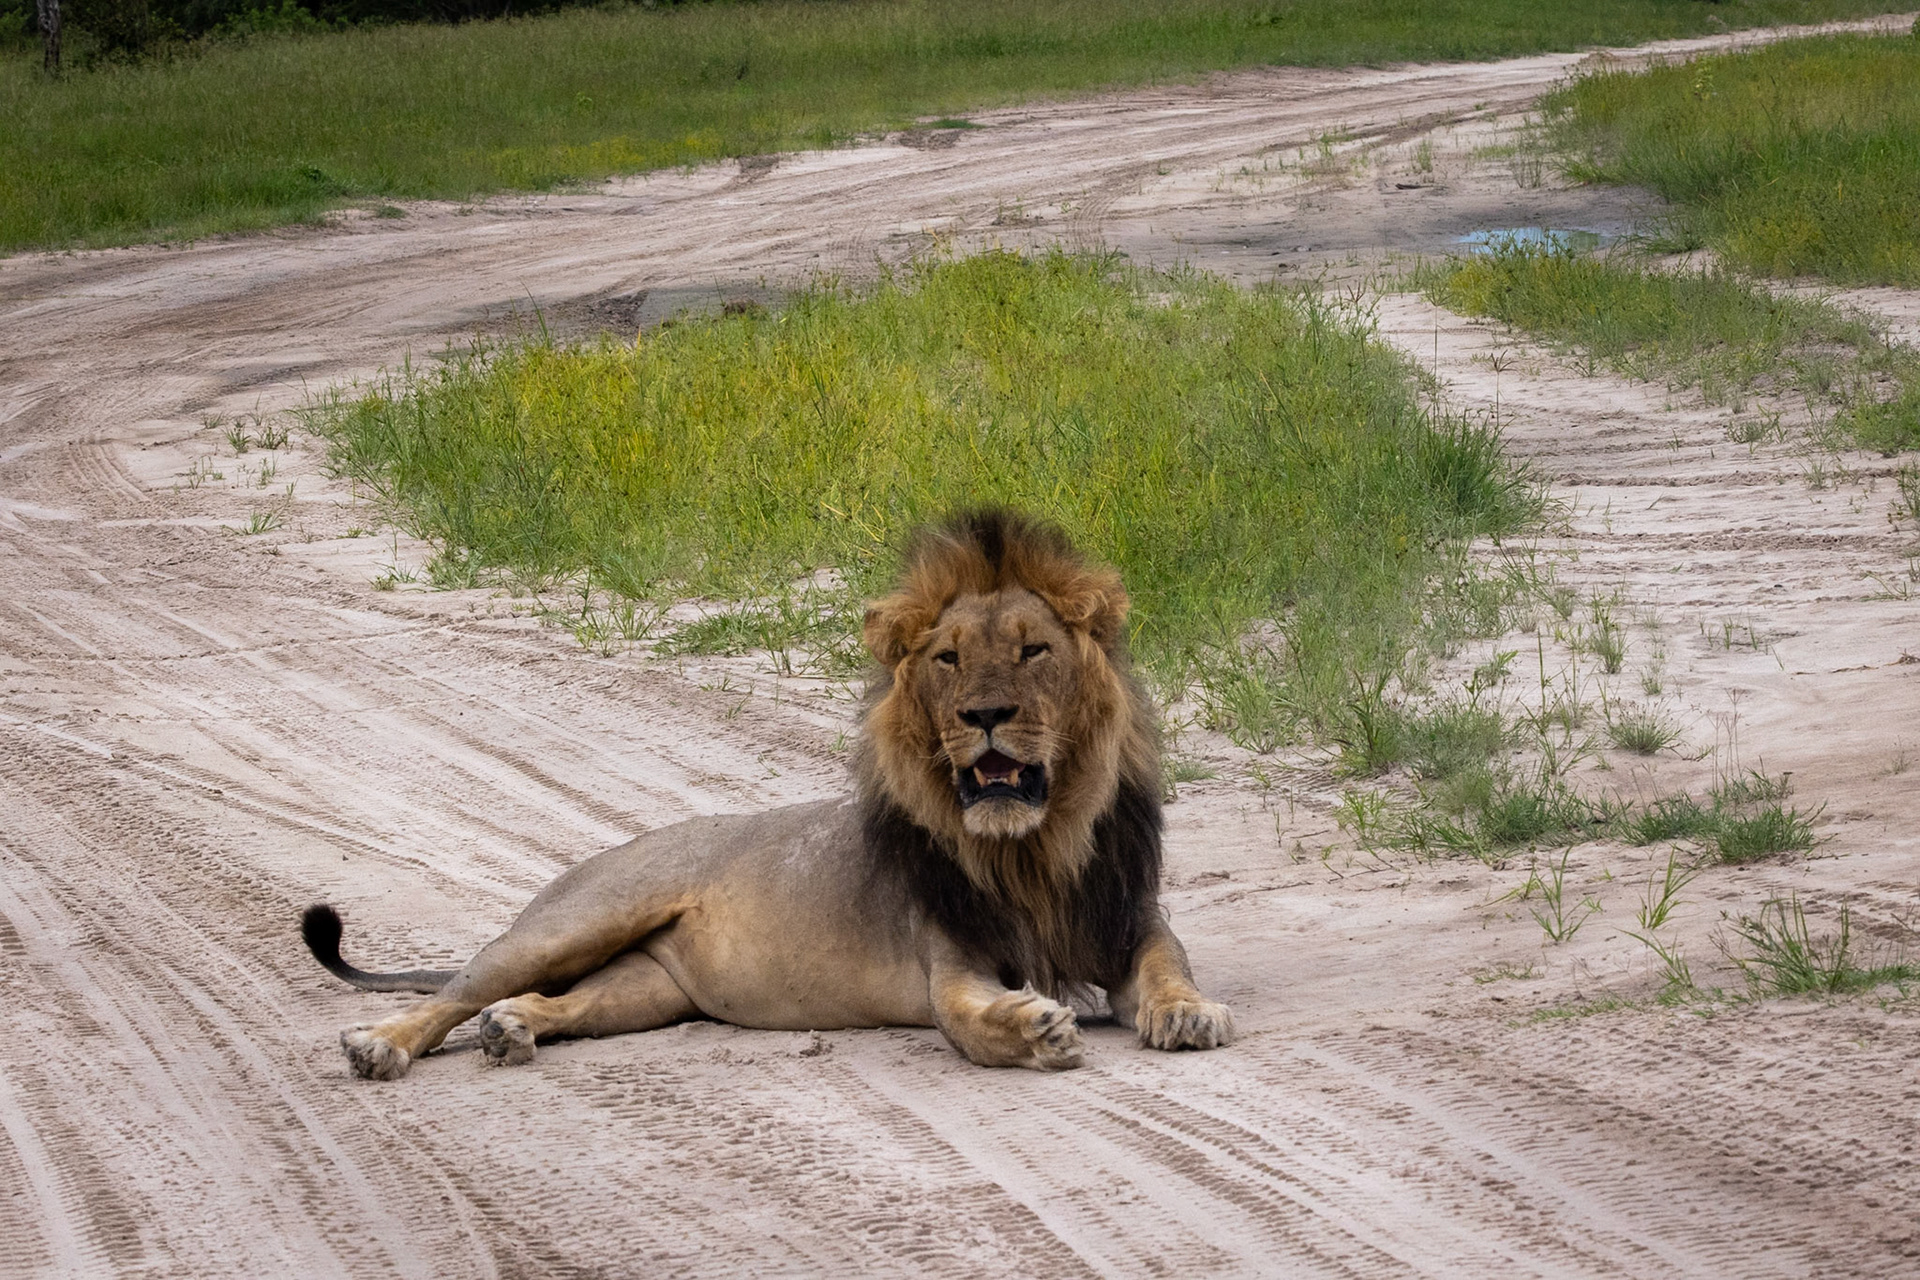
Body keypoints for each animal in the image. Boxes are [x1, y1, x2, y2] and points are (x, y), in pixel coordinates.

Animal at [304, 511, 1234, 1079]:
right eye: (949, 659)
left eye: (1034, 649)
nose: (985, 715)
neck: (1033, 847)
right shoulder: (951, 962)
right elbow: (970, 1019)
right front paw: (1035, 1029)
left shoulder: (1128, 919)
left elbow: (1167, 968)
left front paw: (1189, 1016)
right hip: (575, 921)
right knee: (455, 991)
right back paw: (378, 1046)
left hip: (646, 988)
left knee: (538, 1002)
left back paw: (512, 1030)